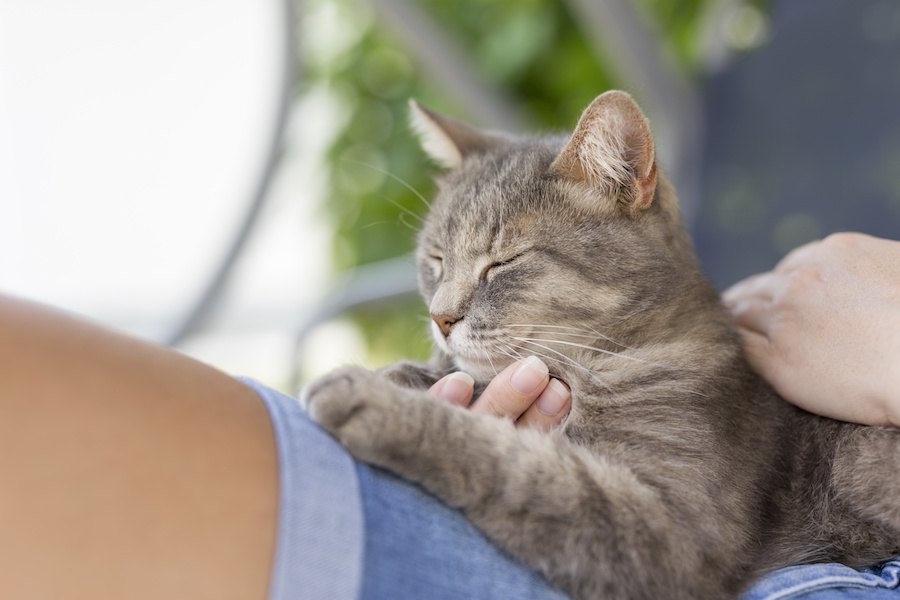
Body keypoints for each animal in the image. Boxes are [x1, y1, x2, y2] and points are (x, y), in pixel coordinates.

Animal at [304, 90, 900, 600]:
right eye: (435, 260)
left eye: (503, 262)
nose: (440, 317)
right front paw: (408, 375)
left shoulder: (672, 531)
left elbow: (513, 465)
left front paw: (378, 402)